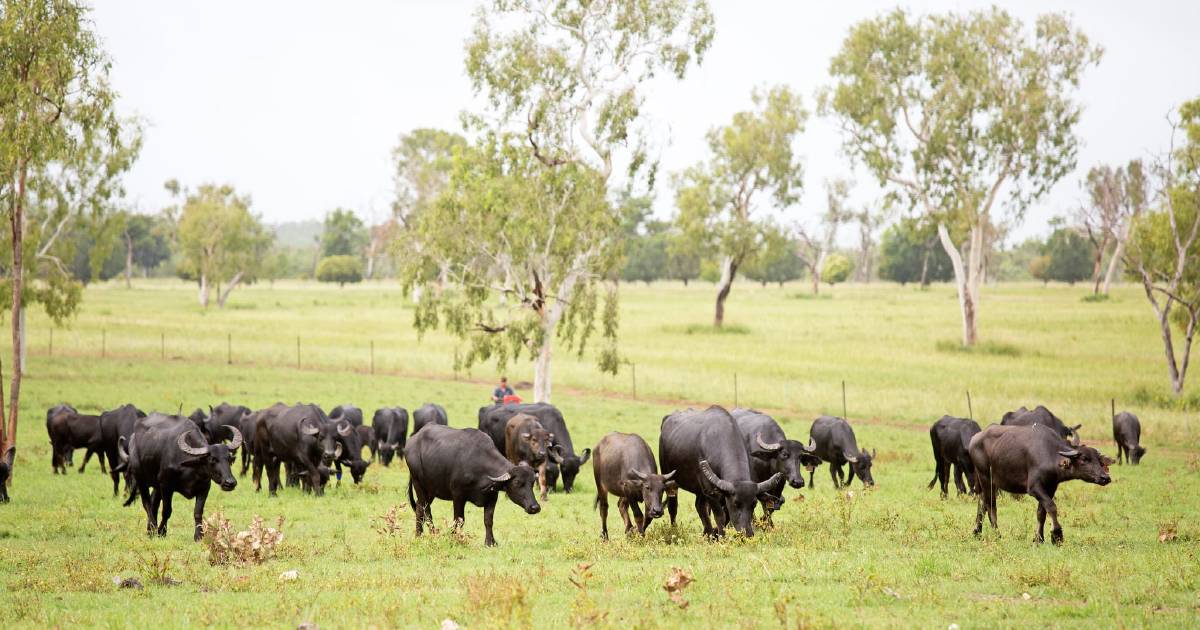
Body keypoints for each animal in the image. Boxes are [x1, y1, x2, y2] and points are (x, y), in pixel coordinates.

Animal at [118, 412, 240, 540]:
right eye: (212, 459)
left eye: (229, 459)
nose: (230, 482)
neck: (191, 469)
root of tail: (132, 440)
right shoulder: (166, 486)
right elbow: (167, 511)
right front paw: (161, 532)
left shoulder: (204, 488)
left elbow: (198, 512)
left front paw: (199, 536)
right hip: (142, 480)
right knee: (147, 503)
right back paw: (153, 528)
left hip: (156, 486)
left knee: (153, 503)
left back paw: (149, 530)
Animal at [405, 422, 542, 544]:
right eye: (517, 483)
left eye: (532, 483)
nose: (535, 507)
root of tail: (412, 441)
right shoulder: (458, 496)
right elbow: (459, 520)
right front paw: (455, 538)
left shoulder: (492, 497)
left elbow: (488, 520)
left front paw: (490, 542)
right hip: (418, 483)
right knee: (425, 509)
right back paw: (430, 534)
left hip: (431, 490)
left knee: (419, 508)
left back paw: (420, 535)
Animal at [657, 408, 787, 535]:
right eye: (735, 503)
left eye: (754, 503)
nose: (747, 533)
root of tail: (668, 418)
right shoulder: (711, 492)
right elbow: (720, 516)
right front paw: (721, 536)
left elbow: (727, 516)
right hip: (670, 479)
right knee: (673, 506)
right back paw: (675, 529)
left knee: (699, 506)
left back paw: (708, 533)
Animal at [964, 420, 1113, 542]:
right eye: (1084, 459)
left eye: (1099, 461)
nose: (1105, 478)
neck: (1051, 455)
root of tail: (974, 439)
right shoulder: (1034, 488)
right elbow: (1051, 506)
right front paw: (1056, 534)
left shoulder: (1050, 488)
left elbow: (1041, 513)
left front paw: (1039, 538)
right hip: (985, 477)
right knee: (990, 506)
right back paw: (997, 534)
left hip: (992, 483)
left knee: (982, 502)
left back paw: (977, 532)